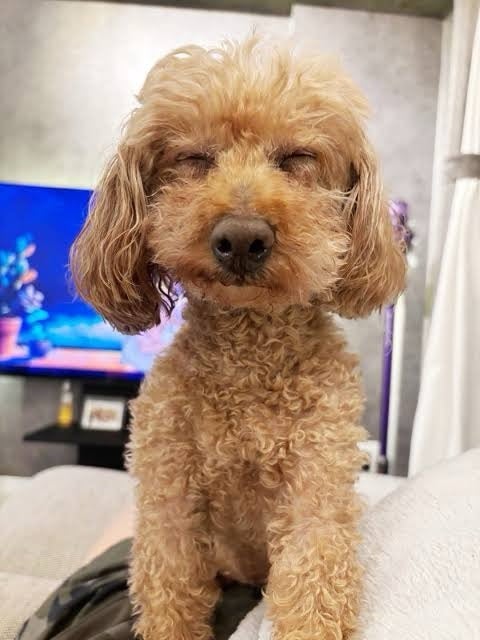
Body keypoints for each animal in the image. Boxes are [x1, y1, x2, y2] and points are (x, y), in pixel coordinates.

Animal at [71, 36, 405, 640]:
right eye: (194, 159)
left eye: (297, 158)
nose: (243, 238)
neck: (250, 356)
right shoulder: (169, 502)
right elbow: (171, 594)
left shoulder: (317, 491)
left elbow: (314, 583)